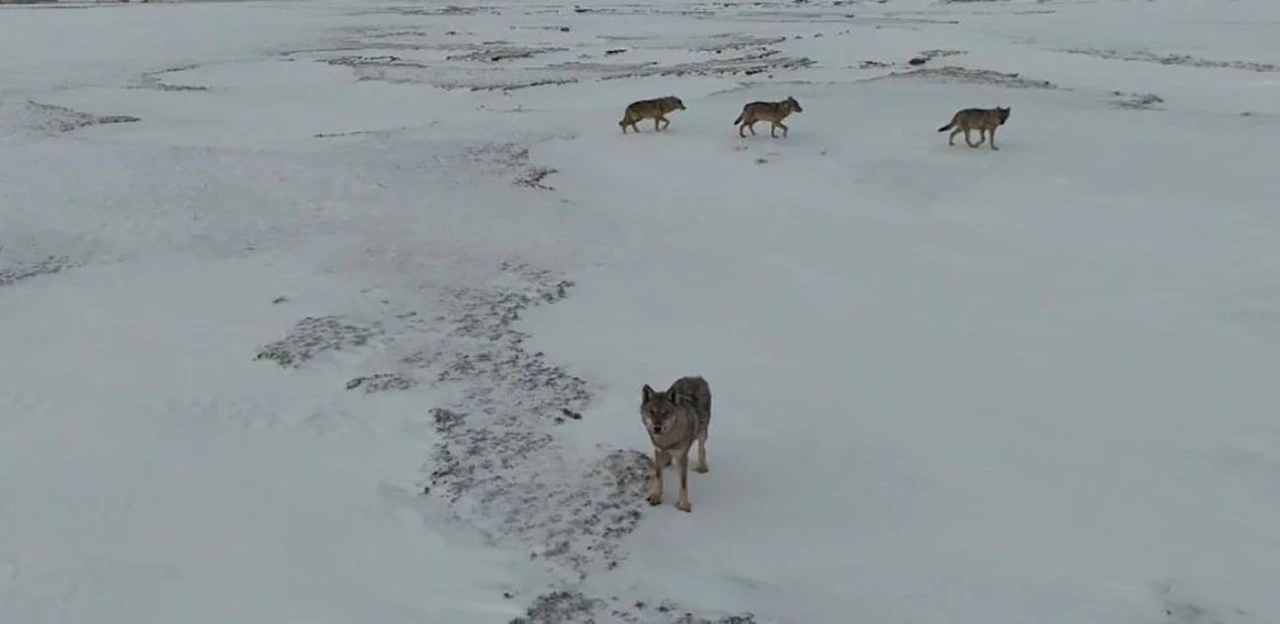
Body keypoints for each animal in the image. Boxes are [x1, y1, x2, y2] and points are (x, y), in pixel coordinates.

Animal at [637, 375, 711, 511]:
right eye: (651, 411)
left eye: (665, 412)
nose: (657, 428)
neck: (668, 439)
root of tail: (696, 377)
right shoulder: (658, 449)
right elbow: (658, 475)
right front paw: (656, 495)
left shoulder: (682, 456)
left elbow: (683, 482)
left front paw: (683, 504)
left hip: (702, 432)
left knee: (702, 448)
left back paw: (702, 467)